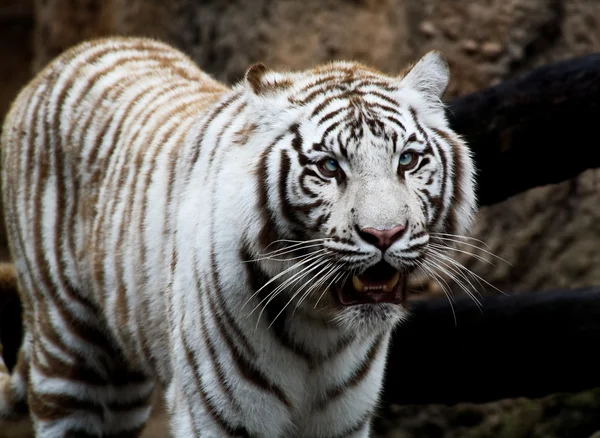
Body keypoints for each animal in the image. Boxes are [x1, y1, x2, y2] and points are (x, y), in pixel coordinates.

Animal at [0, 36, 476, 436]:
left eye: (408, 160)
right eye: (328, 168)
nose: (384, 234)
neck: (322, 332)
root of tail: (67, 57)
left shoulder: (346, 419)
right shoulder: (217, 413)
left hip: (120, 390)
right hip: (68, 353)